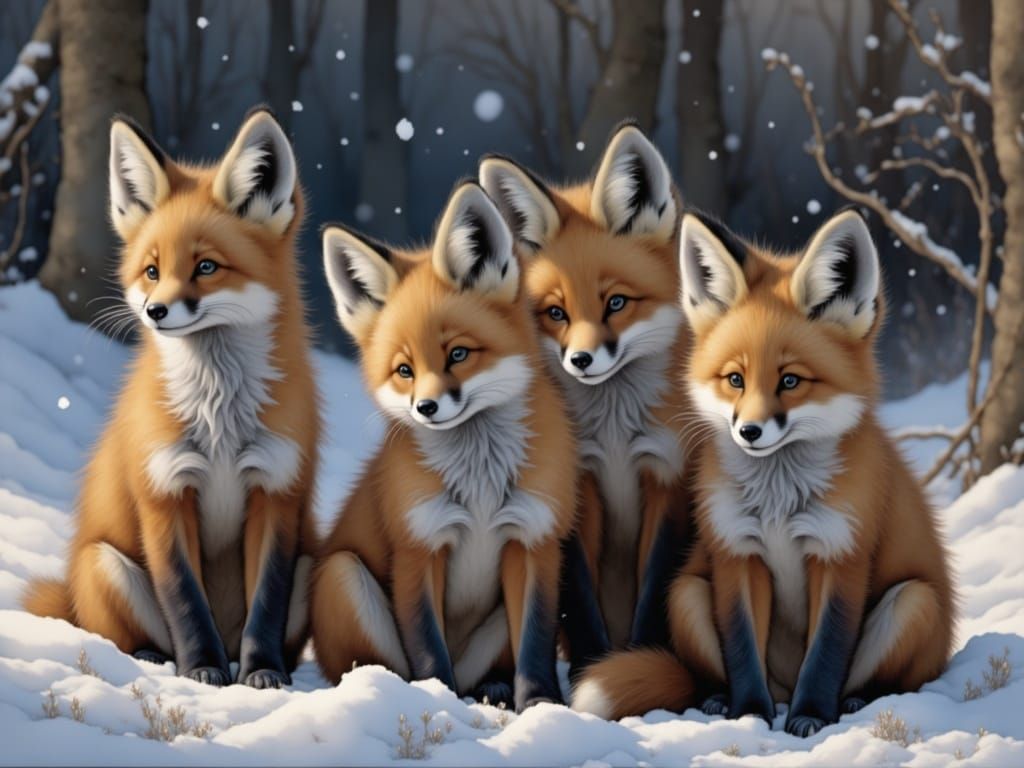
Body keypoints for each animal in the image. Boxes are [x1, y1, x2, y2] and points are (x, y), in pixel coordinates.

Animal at [22, 109, 320, 688]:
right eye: (152, 270)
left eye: (206, 267)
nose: (155, 311)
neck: (220, 418)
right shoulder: (164, 492)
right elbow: (184, 599)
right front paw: (202, 668)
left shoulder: (276, 492)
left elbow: (266, 604)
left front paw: (262, 671)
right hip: (106, 564)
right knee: (127, 636)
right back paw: (157, 659)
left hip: (314, 558)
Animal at [311, 181, 577, 712]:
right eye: (404, 370)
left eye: (458, 354)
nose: (426, 408)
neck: (479, 489)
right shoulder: (420, 546)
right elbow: (428, 645)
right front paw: (437, 697)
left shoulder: (533, 541)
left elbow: (536, 641)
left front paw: (540, 704)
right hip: (342, 576)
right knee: (381, 664)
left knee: (488, 670)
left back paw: (494, 689)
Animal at [479, 123, 695, 677]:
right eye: (556, 312)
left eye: (616, 303)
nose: (581, 360)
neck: (616, 436)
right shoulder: (576, 486)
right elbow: (576, 595)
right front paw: (590, 667)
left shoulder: (667, 478)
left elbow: (655, 586)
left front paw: (636, 661)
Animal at [571, 208, 955, 735]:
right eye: (735, 379)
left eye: (790, 381)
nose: (748, 432)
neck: (779, 508)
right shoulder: (737, 553)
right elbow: (742, 649)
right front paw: (750, 714)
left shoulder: (841, 555)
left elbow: (826, 653)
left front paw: (811, 716)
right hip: (686, 594)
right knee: (709, 670)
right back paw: (719, 700)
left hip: (914, 603)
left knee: (885, 680)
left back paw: (852, 703)